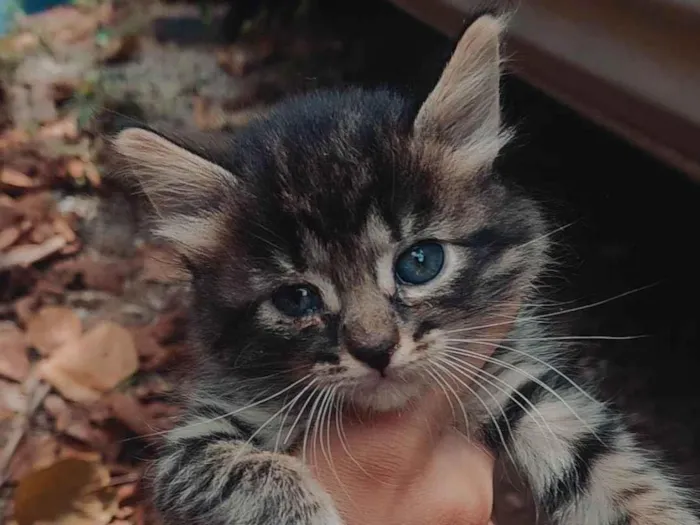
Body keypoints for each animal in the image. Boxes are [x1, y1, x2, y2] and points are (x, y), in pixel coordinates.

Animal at [112, 14, 696, 524]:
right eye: (296, 300)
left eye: (419, 262)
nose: (375, 350)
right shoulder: (194, 442)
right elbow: (246, 470)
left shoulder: (521, 376)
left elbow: (614, 473)